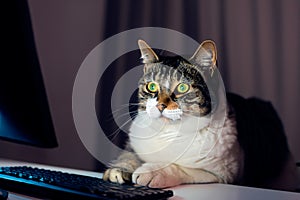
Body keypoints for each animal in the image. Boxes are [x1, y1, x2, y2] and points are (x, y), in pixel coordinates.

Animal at [103, 39, 298, 190]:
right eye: (151, 86)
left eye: (182, 87)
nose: (160, 105)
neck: (168, 132)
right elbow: (129, 154)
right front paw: (120, 168)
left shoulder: (221, 173)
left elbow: (179, 167)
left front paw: (150, 171)